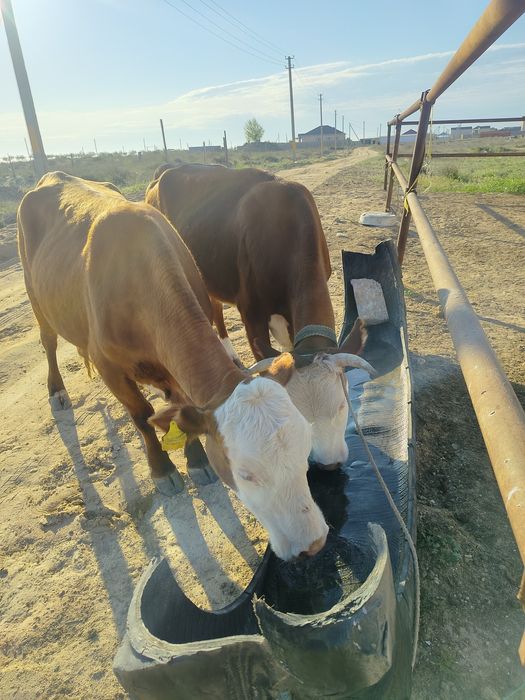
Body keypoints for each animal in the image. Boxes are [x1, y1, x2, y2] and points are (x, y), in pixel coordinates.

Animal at [17, 171, 329, 561]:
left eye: (305, 449)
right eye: (245, 474)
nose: (313, 543)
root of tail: (53, 175)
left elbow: (181, 409)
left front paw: (196, 461)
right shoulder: (109, 367)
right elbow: (141, 416)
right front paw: (162, 469)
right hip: (35, 295)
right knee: (48, 340)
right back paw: (57, 391)